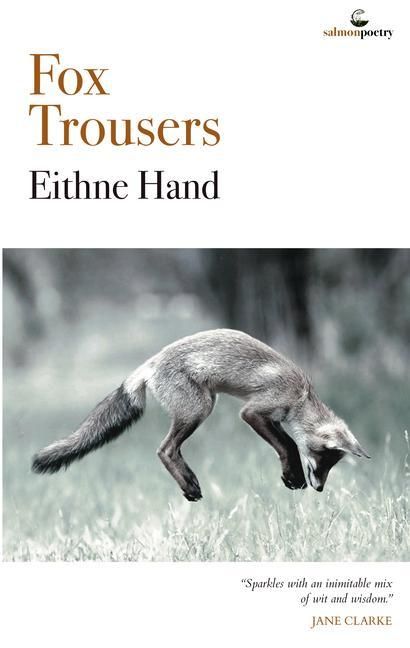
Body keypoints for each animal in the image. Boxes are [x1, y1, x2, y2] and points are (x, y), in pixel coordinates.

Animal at [32, 329, 370, 500]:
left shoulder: (270, 417)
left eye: (331, 464)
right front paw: (293, 476)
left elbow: (287, 444)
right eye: (324, 458)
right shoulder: (254, 412)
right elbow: (287, 444)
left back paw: (190, 482)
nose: (321, 488)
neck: (301, 397)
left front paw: (293, 476)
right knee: (165, 450)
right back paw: (189, 486)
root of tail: (152, 362)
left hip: (202, 405)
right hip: (200, 408)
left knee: (169, 450)